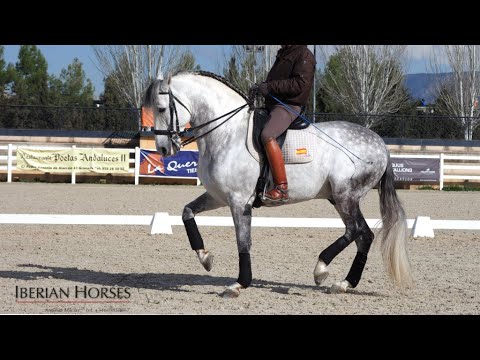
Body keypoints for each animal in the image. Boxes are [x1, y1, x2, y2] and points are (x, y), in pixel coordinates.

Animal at [143, 71, 412, 298]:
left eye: (162, 108)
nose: (163, 149)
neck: (226, 133)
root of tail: (381, 144)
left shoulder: (239, 201)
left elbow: (243, 241)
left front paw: (239, 283)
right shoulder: (218, 197)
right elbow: (187, 212)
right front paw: (205, 257)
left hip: (346, 195)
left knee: (356, 231)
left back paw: (322, 269)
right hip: (340, 198)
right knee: (362, 234)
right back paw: (343, 283)